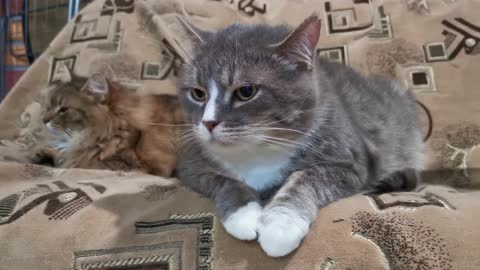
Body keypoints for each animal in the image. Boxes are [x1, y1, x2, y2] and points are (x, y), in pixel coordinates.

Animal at [174, 15, 422, 256]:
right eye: (198, 93)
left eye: (246, 91)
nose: (207, 122)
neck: (257, 151)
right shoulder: (190, 165)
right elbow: (223, 180)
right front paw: (243, 215)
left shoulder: (352, 163)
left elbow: (307, 178)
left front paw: (280, 225)